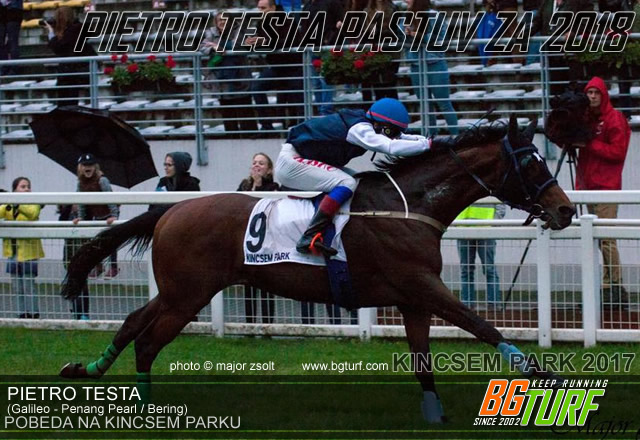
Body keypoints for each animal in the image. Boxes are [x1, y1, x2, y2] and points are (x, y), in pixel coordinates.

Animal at [59, 115, 575, 423]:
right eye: (531, 164)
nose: (566, 210)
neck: (409, 207)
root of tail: (170, 210)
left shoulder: (412, 298)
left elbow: (423, 358)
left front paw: (434, 412)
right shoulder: (421, 284)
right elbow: (482, 325)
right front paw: (551, 380)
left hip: (177, 292)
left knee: (131, 324)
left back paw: (86, 368)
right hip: (188, 295)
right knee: (147, 342)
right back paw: (147, 407)